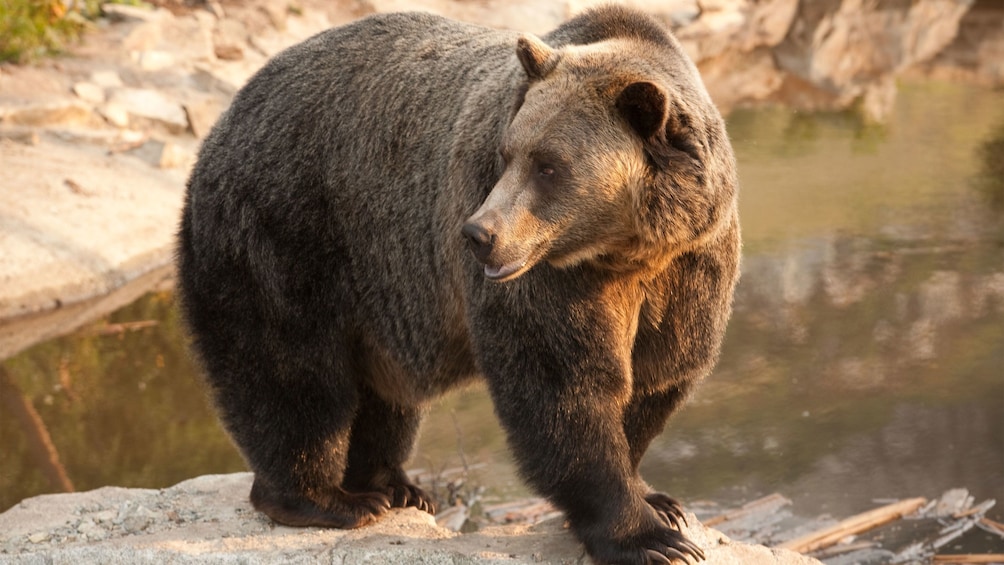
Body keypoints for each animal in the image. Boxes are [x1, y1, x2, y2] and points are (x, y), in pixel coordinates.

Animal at [174, 5, 738, 565]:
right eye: (509, 154)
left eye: (549, 165)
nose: (479, 235)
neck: (625, 251)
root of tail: (227, 116)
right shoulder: (551, 278)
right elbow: (563, 382)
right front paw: (649, 539)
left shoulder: (691, 267)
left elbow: (657, 376)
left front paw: (658, 500)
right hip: (288, 234)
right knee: (291, 374)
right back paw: (329, 499)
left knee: (381, 394)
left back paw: (395, 485)